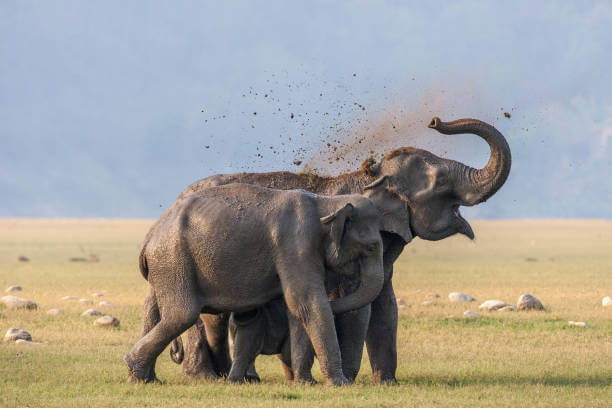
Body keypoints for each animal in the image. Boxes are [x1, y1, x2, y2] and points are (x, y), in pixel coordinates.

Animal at [125, 182, 388, 386]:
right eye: (372, 247)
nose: (345, 381)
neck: (327, 203)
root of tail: (150, 234)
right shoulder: (296, 244)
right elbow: (306, 301)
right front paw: (339, 384)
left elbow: (297, 309)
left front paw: (306, 383)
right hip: (172, 261)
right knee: (182, 314)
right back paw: (136, 371)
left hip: (168, 265)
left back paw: (145, 378)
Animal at [163, 117, 512, 382]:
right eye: (440, 182)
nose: (435, 121)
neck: (368, 176)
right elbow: (358, 306)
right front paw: (349, 379)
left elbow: (385, 305)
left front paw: (387, 382)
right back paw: (207, 378)